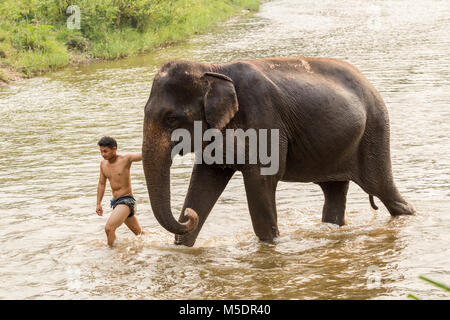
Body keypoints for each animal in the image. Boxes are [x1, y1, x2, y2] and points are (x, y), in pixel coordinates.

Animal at [142, 58, 414, 248]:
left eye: (171, 119)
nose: (188, 216)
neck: (213, 68)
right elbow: (204, 181)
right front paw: (182, 248)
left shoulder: (263, 117)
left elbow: (262, 180)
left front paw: (270, 246)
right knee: (334, 192)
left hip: (375, 130)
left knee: (382, 188)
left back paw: (406, 215)